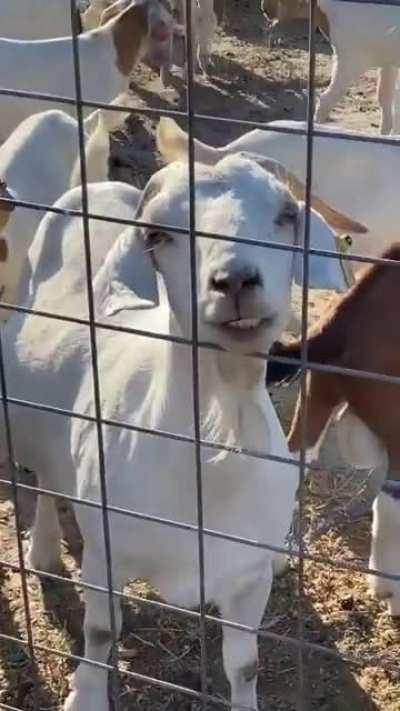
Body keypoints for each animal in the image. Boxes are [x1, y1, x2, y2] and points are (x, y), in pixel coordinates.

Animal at [0, 141, 367, 708]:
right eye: (157, 233)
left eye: (287, 214)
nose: (234, 280)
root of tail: (98, 186)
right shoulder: (107, 553)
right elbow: (101, 632)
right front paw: (85, 696)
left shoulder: (245, 579)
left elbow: (245, 664)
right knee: (42, 481)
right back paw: (41, 551)